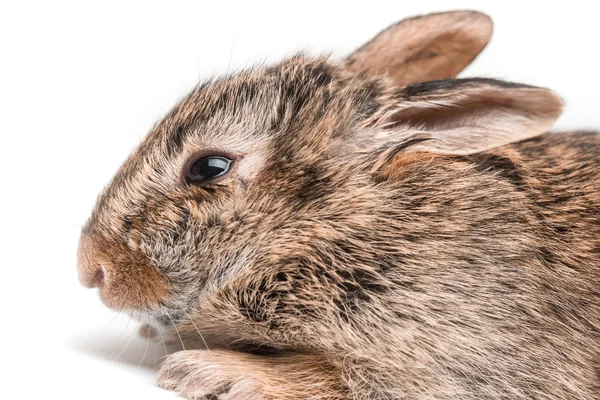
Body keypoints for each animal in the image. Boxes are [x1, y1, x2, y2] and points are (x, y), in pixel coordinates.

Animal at [77, 9, 596, 400]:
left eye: (209, 167)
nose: (90, 271)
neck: (329, 220)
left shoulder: (450, 357)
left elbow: (336, 375)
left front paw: (207, 370)